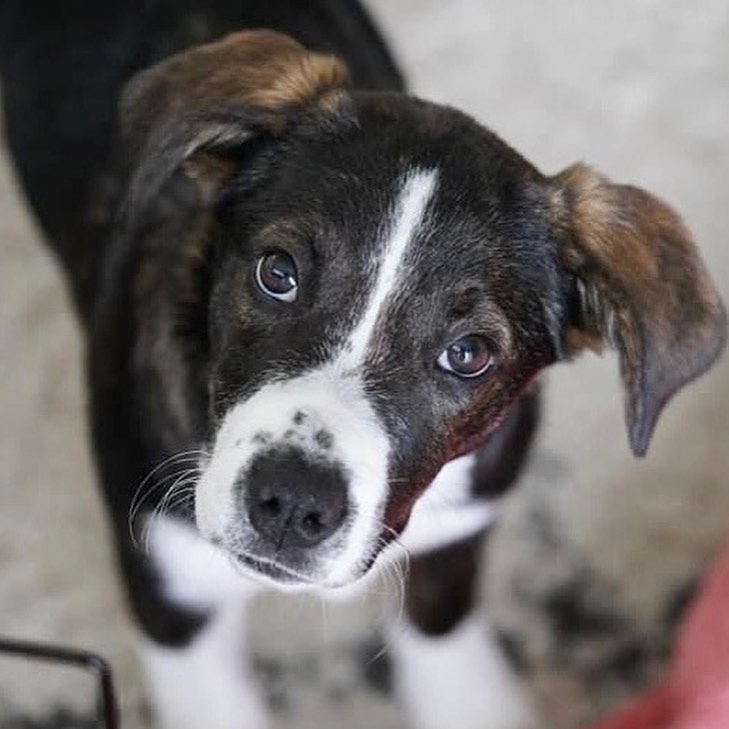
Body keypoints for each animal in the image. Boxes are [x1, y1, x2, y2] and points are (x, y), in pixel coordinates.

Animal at [0, 1, 724, 728]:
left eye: (468, 354)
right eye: (277, 273)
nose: (292, 504)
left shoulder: (452, 543)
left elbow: (444, 643)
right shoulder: (173, 592)